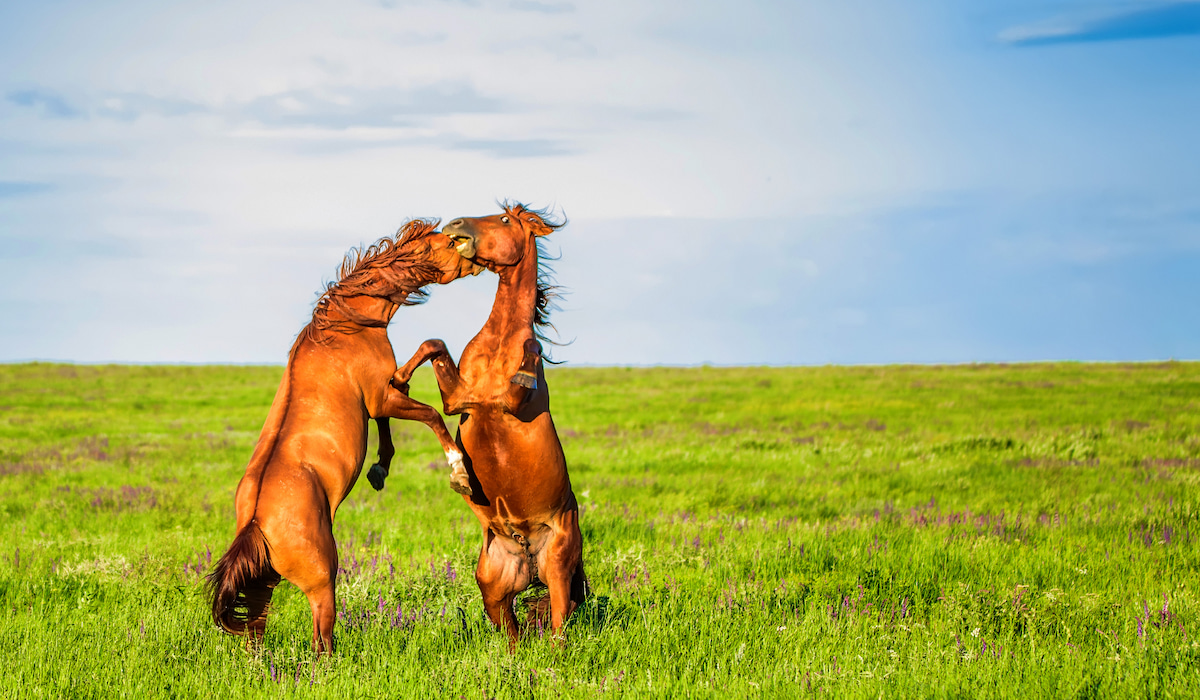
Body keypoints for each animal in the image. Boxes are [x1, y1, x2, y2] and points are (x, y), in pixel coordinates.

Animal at [207, 219, 483, 654]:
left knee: (255, 631)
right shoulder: (380, 396)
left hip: (263, 585)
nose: (476, 256)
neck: (349, 324)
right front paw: (459, 472)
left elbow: (410, 382)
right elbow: (432, 413)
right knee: (321, 640)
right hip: (323, 580)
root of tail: (256, 523)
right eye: (446, 241)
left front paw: (380, 470)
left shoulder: (380, 398)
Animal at [393, 203, 587, 647]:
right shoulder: (459, 401)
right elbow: (433, 344)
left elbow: (529, 356)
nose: (454, 225)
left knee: (559, 629)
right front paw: (398, 378)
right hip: (493, 588)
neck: (499, 347)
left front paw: (528, 366)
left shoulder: (507, 404)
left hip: (559, 571)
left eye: (504, 220)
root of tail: (527, 550)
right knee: (513, 637)